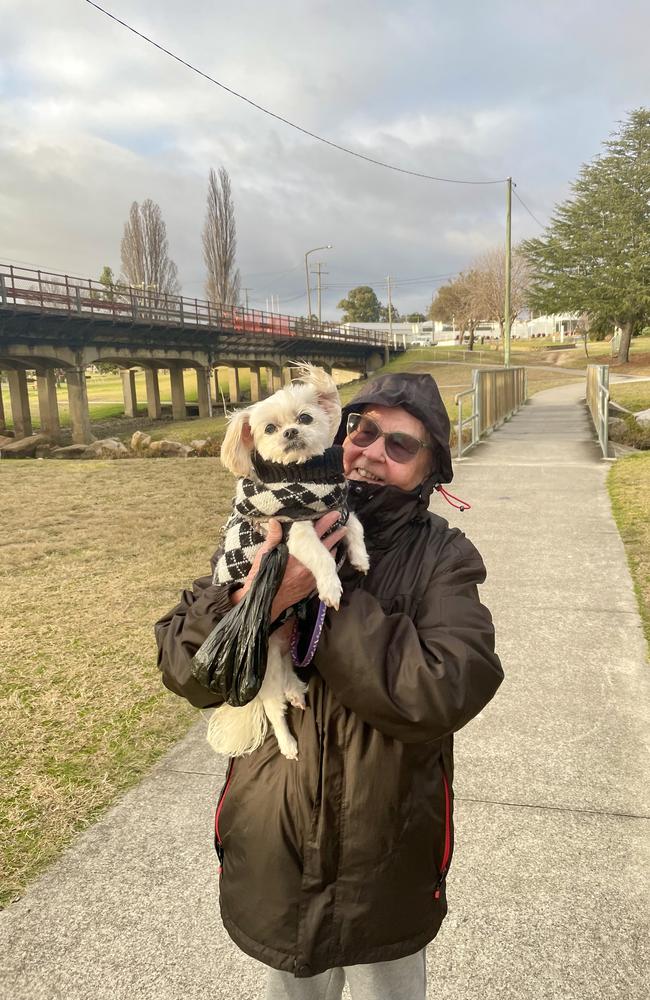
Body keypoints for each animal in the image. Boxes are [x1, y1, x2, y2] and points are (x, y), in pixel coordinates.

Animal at [208, 364, 370, 760]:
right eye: (269, 429)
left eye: (305, 418)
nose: (291, 432)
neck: (303, 480)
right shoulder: (294, 531)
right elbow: (321, 557)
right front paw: (331, 587)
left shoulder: (338, 510)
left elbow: (355, 526)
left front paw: (360, 558)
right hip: (263, 674)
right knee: (272, 710)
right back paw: (288, 744)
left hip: (284, 653)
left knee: (288, 682)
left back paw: (296, 691)